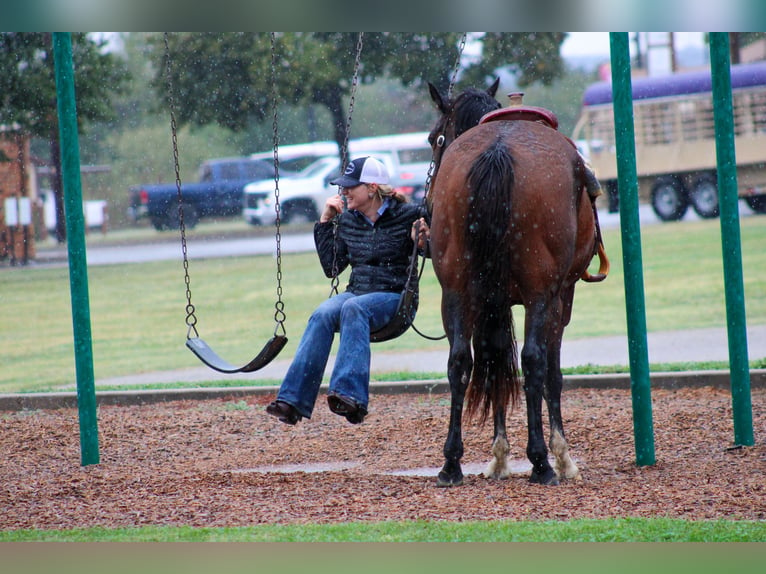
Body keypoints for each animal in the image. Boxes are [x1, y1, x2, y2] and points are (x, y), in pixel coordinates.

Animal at [428, 79, 608, 488]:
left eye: (433, 138)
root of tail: (498, 150)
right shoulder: (560, 297)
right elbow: (550, 372)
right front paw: (561, 455)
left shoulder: (492, 302)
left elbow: (494, 363)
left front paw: (498, 456)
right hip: (542, 294)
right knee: (534, 360)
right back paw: (542, 462)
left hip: (456, 293)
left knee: (459, 361)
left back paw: (451, 463)